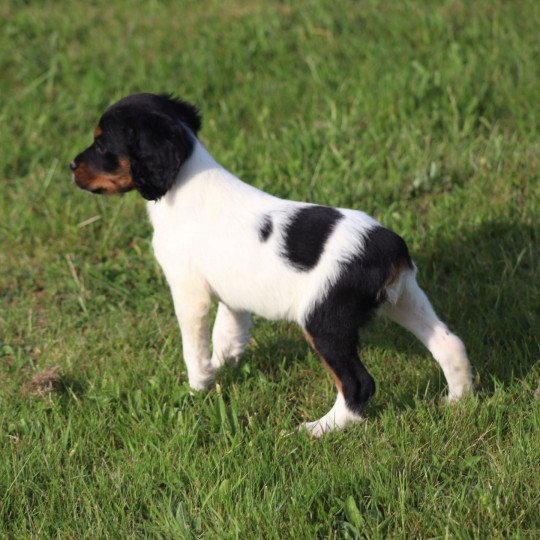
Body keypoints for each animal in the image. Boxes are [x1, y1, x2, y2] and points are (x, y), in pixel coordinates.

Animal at [71, 93, 472, 436]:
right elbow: (228, 328)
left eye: (102, 144)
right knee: (448, 342)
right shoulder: (232, 291)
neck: (184, 181)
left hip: (324, 321)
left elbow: (193, 345)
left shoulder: (188, 290)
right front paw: (225, 362)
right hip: (405, 298)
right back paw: (459, 401)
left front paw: (199, 384)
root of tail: (389, 248)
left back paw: (319, 429)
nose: (71, 165)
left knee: (358, 384)